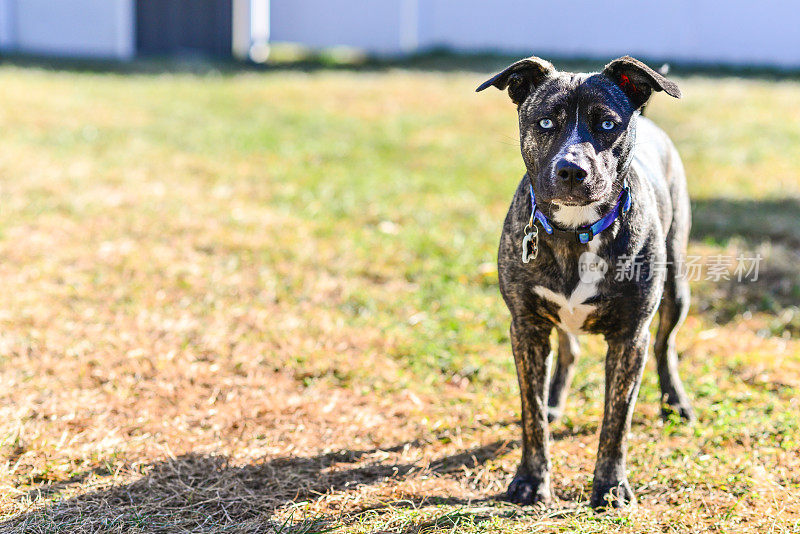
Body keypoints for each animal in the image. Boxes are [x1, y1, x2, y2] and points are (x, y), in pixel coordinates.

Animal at [476, 57, 692, 510]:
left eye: (608, 123)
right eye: (545, 122)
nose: (572, 170)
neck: (576, 231)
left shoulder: (630, 339)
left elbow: (616, 421)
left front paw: (610, 486)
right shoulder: (526, 327)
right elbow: (531, 413)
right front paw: (531, 480)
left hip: (677, 284)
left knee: (665, 345)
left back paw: (675, 402)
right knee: (568, 349)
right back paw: (555, 401)